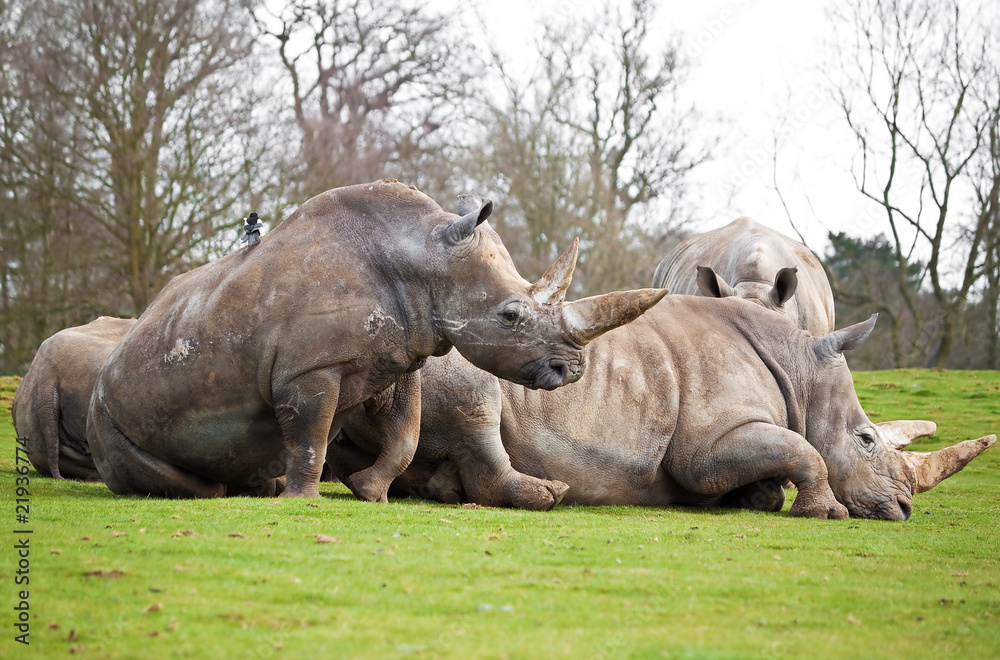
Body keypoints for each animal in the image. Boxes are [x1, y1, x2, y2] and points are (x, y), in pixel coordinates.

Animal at [88, 180, 666, 501]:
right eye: (509, 315)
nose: (573, 370)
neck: (426, 256)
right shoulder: (308, 370)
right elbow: (309, 438)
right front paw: (302, 501)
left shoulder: (398, 356)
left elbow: (402, 435)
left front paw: (369, 494)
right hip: (104, 410)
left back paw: (258, 486)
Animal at [333, 296, 994, 519]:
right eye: (865, 440)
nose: (903, 509)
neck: (803, 369)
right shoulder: (707, 445)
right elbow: (803, 448)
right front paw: (824, 512)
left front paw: (758, 497)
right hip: (452, 351)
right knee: (481, 400)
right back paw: (547, 495)